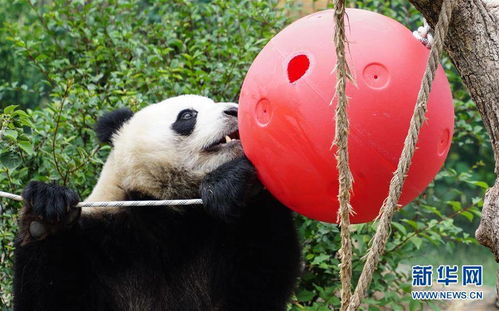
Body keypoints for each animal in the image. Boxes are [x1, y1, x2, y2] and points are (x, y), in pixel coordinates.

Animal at [12, 95, 300, 311]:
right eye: (187, 115)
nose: (234, 110)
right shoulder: (107, 242)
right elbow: (49, 299)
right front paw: (47, 213)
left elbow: (258, 281)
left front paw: (236, 184)